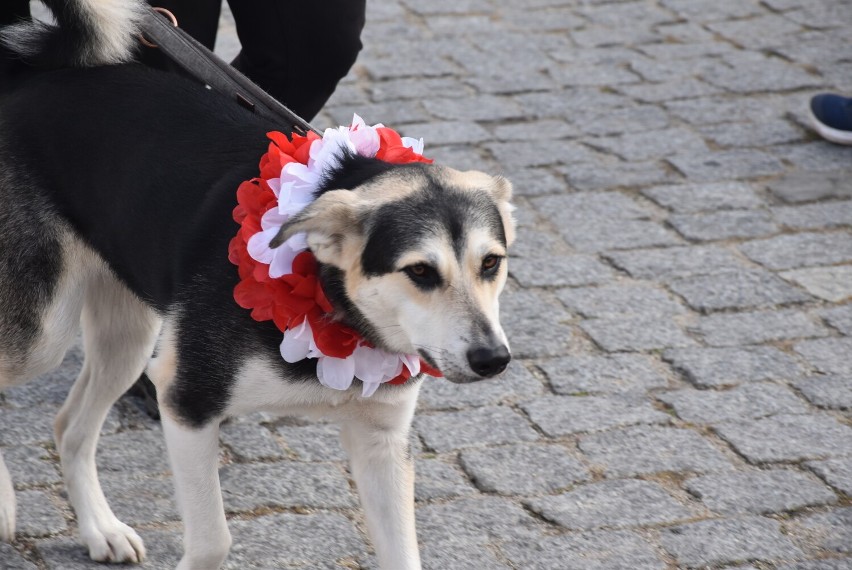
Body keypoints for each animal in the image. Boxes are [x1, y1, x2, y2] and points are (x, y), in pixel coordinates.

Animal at [0, 1, 512, 568]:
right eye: (420, 271)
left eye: (491, 263)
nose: (493, 359)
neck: (331, 298)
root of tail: (33, 72)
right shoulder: (187, 402)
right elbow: (213, 541)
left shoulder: (381, 440)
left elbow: (403, 553)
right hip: (42, 334)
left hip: (129, 338)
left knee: (70, 427)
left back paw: (100, 529)